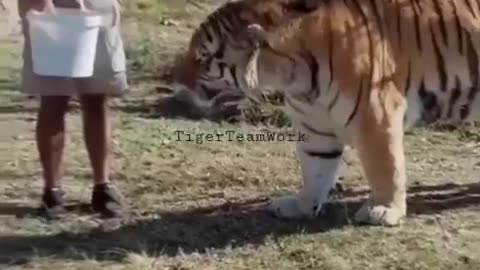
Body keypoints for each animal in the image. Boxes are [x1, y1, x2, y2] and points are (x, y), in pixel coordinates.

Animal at [173, 0, 480, 227]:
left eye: (202, 57)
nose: (177, 81)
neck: (292, 77)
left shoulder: (376, 115)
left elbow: (386, 166)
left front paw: (384, 210)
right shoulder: (314, 126)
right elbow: (316, 168)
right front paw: (301, 206)